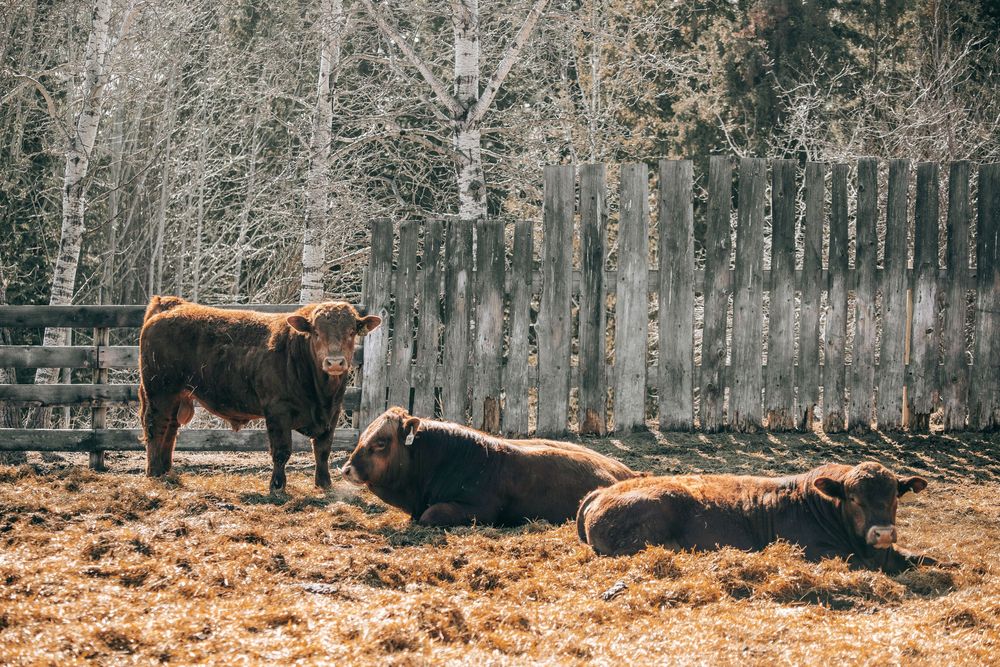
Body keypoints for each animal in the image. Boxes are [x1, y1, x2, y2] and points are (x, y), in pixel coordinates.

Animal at [138, 296, 381, 493]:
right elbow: (282, 451)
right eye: (317, 333)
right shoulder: (277, 411)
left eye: (351, 332)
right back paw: (154, 473)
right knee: (155, 428)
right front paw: (277, 486)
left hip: (177, 396)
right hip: (159, 392)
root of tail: (171, 305)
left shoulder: (333, 412)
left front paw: (324, 484)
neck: (322, 395)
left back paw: (166, 471)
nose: (335, 362)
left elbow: (323, 450)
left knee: (170, 430)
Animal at [576, 462, 953, 573]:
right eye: (855, 498)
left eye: (894, 497)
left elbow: (925, 558)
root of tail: (600, 492)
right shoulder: (816, 552)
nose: (883, 533)